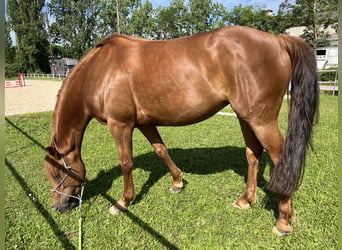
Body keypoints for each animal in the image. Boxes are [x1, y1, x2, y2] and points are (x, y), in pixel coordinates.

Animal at [44, 26, 320, 235]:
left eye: (57, 174)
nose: (58, 207)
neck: (100, 72)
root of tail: (277, 40)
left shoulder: (120, 125)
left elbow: (126, 163)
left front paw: (122, 203)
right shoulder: (145, 123)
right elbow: (161, 150)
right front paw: (177, 182)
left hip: (261, 120)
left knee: (280, 159)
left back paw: (283, 221)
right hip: (246, 117)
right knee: (253, 155)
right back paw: (246, 200)